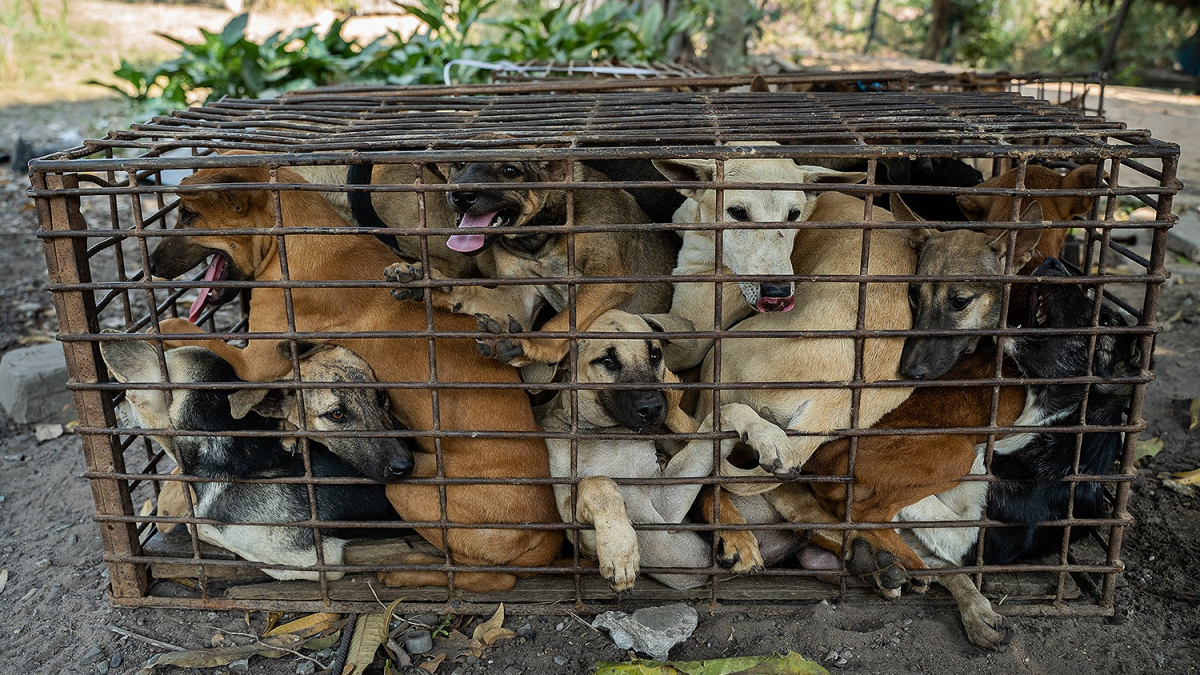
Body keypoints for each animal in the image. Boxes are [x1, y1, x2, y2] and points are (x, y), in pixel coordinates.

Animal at [148, 164, 561, 588]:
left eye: (187, 216)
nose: (151, 267)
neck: (299, 244)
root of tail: (549, 537)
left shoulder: (253, 364)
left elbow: (174, 324)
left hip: (407, 489)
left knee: (489, 577)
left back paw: (406, 570)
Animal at [386, 156, 681, 367]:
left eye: (510, 171)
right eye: (458, 165)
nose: (460, 196)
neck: (537, 241)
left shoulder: (608, 277)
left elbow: (562, 321)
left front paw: (532, 345)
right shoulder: (517, 298)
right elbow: (470, 291)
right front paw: (427, 282)